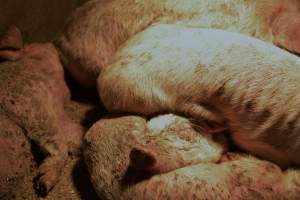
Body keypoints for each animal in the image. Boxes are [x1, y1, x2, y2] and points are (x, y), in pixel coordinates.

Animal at [0, 26, 83, 197]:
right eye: (40, 46)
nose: (53, 43)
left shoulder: (58, 115)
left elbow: (76, 133)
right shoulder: (31, 106)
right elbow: (58, 144)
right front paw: (43, 186)